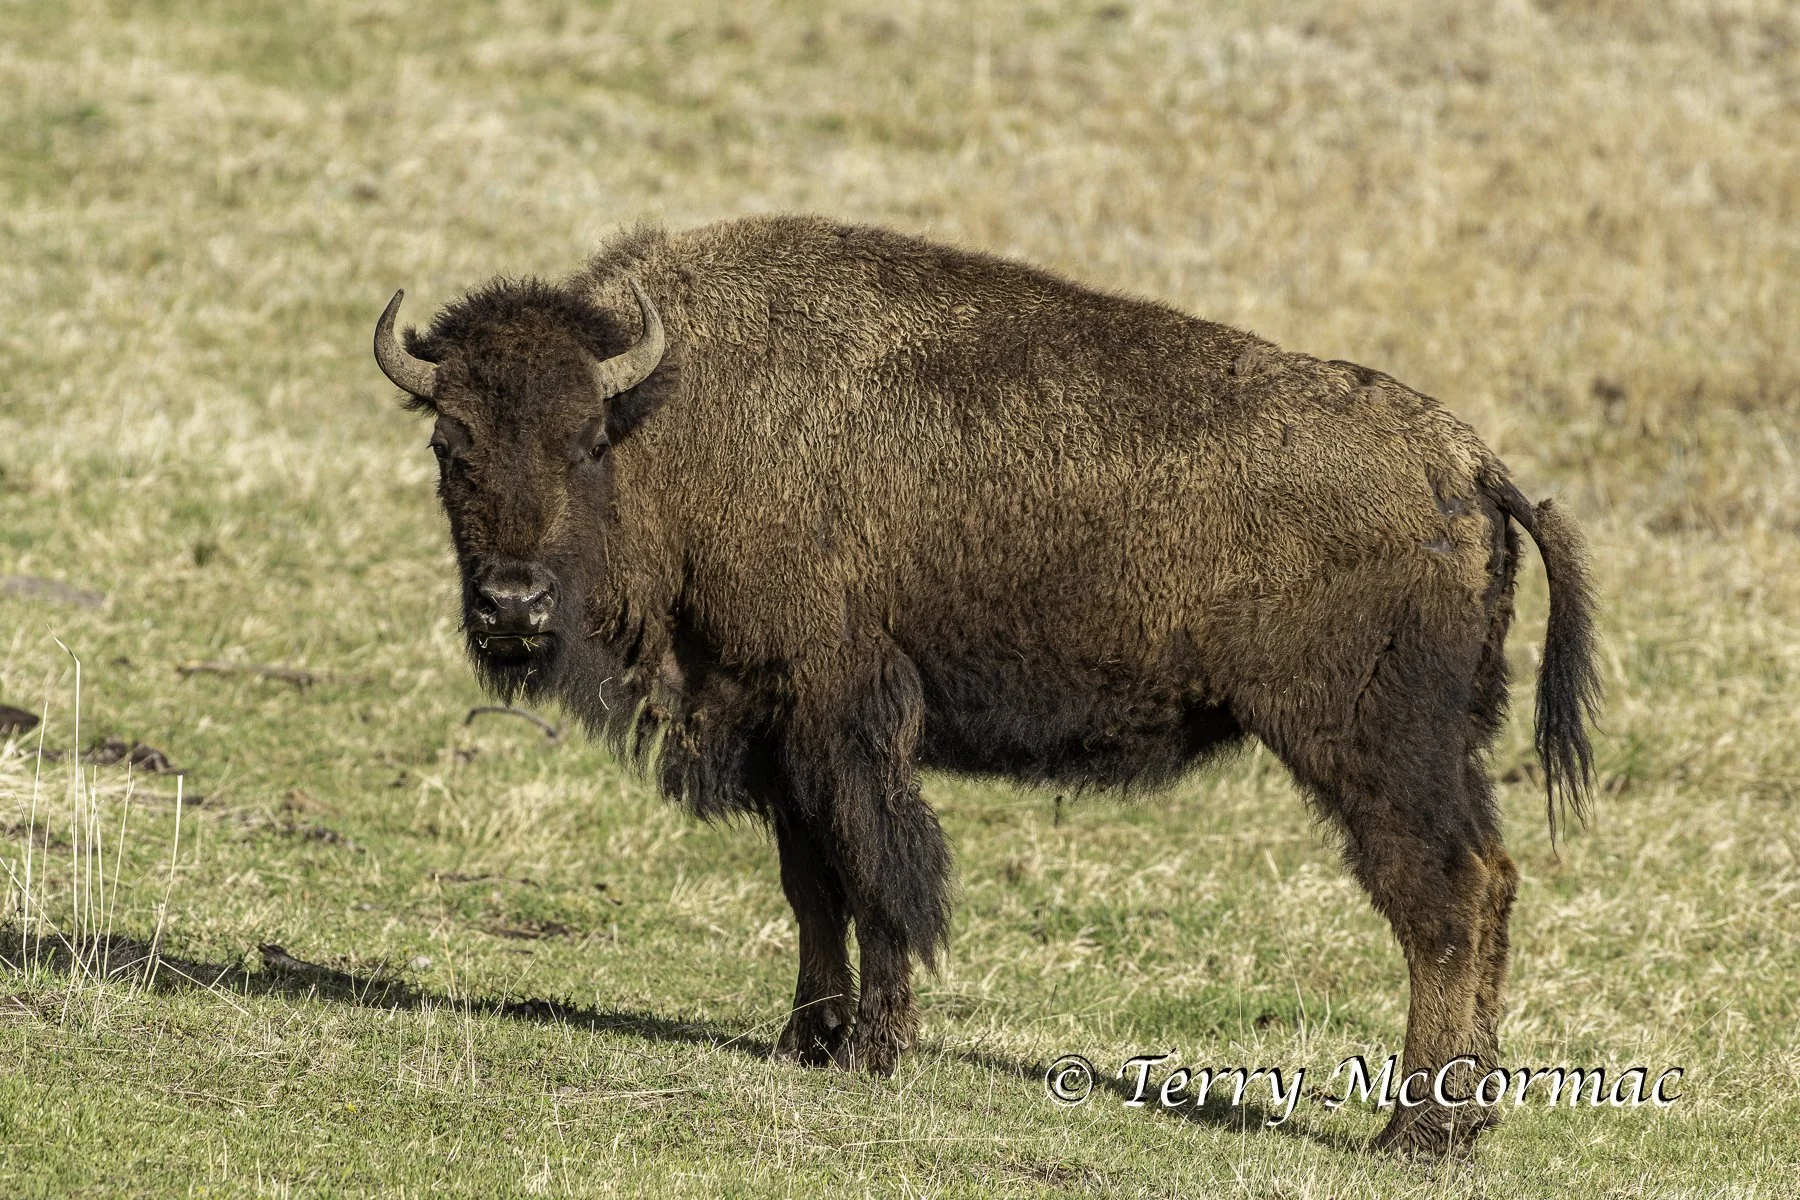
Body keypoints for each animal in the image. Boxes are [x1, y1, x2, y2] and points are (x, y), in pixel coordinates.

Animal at [374, 214, 1598, 1152]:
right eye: (448, 444)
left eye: (585, 440)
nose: (514, 604)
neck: (676, 414)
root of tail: (1469, 463)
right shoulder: (775, 729)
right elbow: (813, 886)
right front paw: (804, 1042)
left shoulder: (840, 718)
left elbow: (879, 875)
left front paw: (873, 1052)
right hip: (1445, 752)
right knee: (1491, 882)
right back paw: (1465, 1120)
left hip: (1369, 749)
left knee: (1441, 899)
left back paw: (1414, 1132)